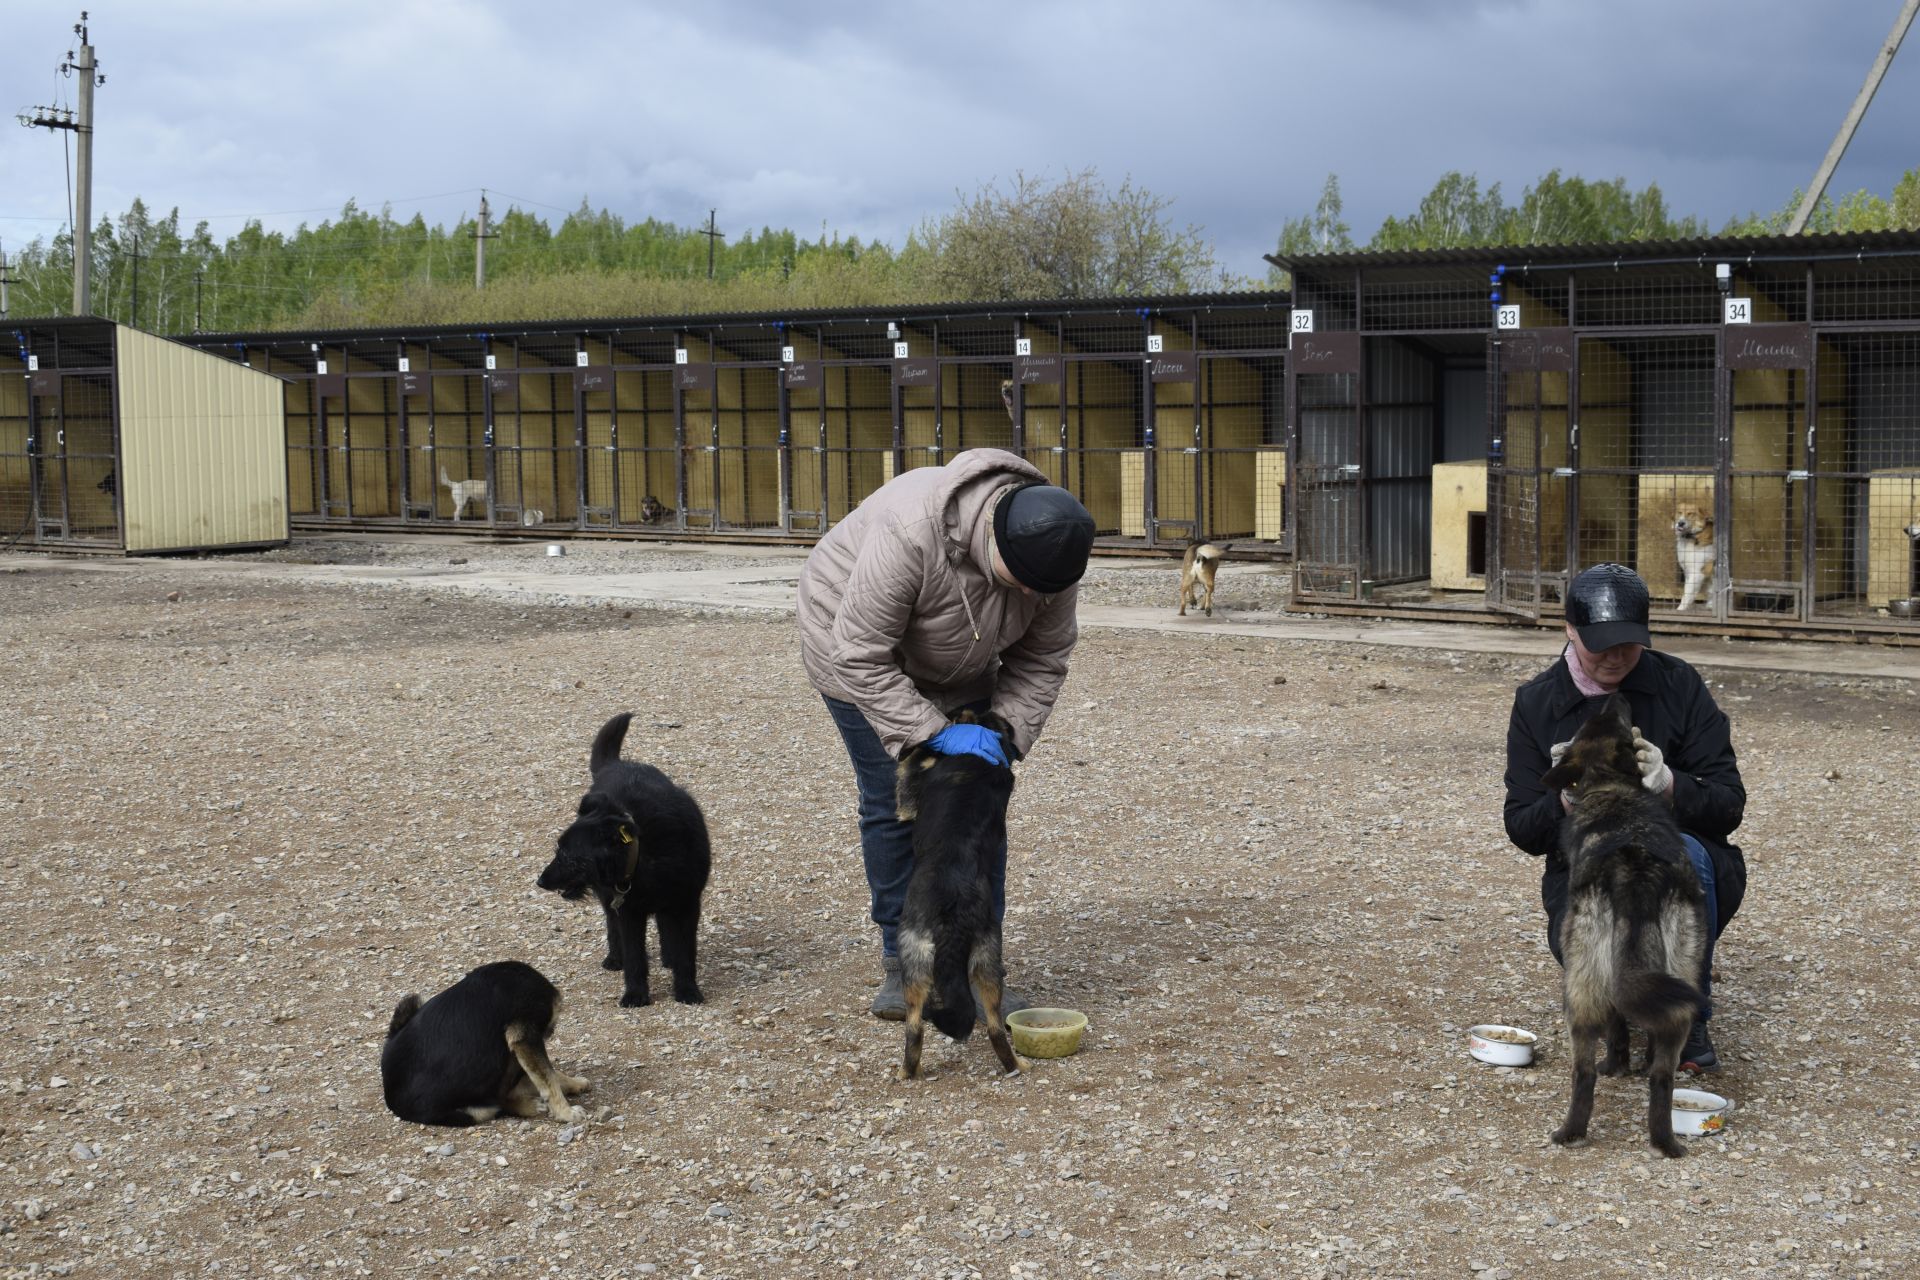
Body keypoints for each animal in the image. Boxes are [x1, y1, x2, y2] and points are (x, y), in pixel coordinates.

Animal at [374, 959, 583, 1128]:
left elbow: (550, 1075)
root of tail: (389, 1096)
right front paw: (566, 1113)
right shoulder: (525, 1036)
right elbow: (548, 1078)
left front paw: (575, 1083)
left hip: (413, 1001)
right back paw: (529, 1105)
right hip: (476, 1111)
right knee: (499, 1102)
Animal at [541, 717, 714, 1005]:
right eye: (559, 850)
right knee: (613, 927)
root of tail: (615, 764)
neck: (644, 853)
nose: (540, 881)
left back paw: (668, 958)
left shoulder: (687, 906)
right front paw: (635, 994)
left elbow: (685, 954)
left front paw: (687, 990)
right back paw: (615, 958)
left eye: (566, 854)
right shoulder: (629, 912)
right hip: (610, 900)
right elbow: (635, 957)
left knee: (665, 927)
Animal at [894, 710, 1029, 1082]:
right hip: (982, 960)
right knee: (990, 1028)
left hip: (918, 956)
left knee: (918, 1028)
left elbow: (910, 767)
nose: (951, 714)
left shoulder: (913, 786)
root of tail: (952, 914)